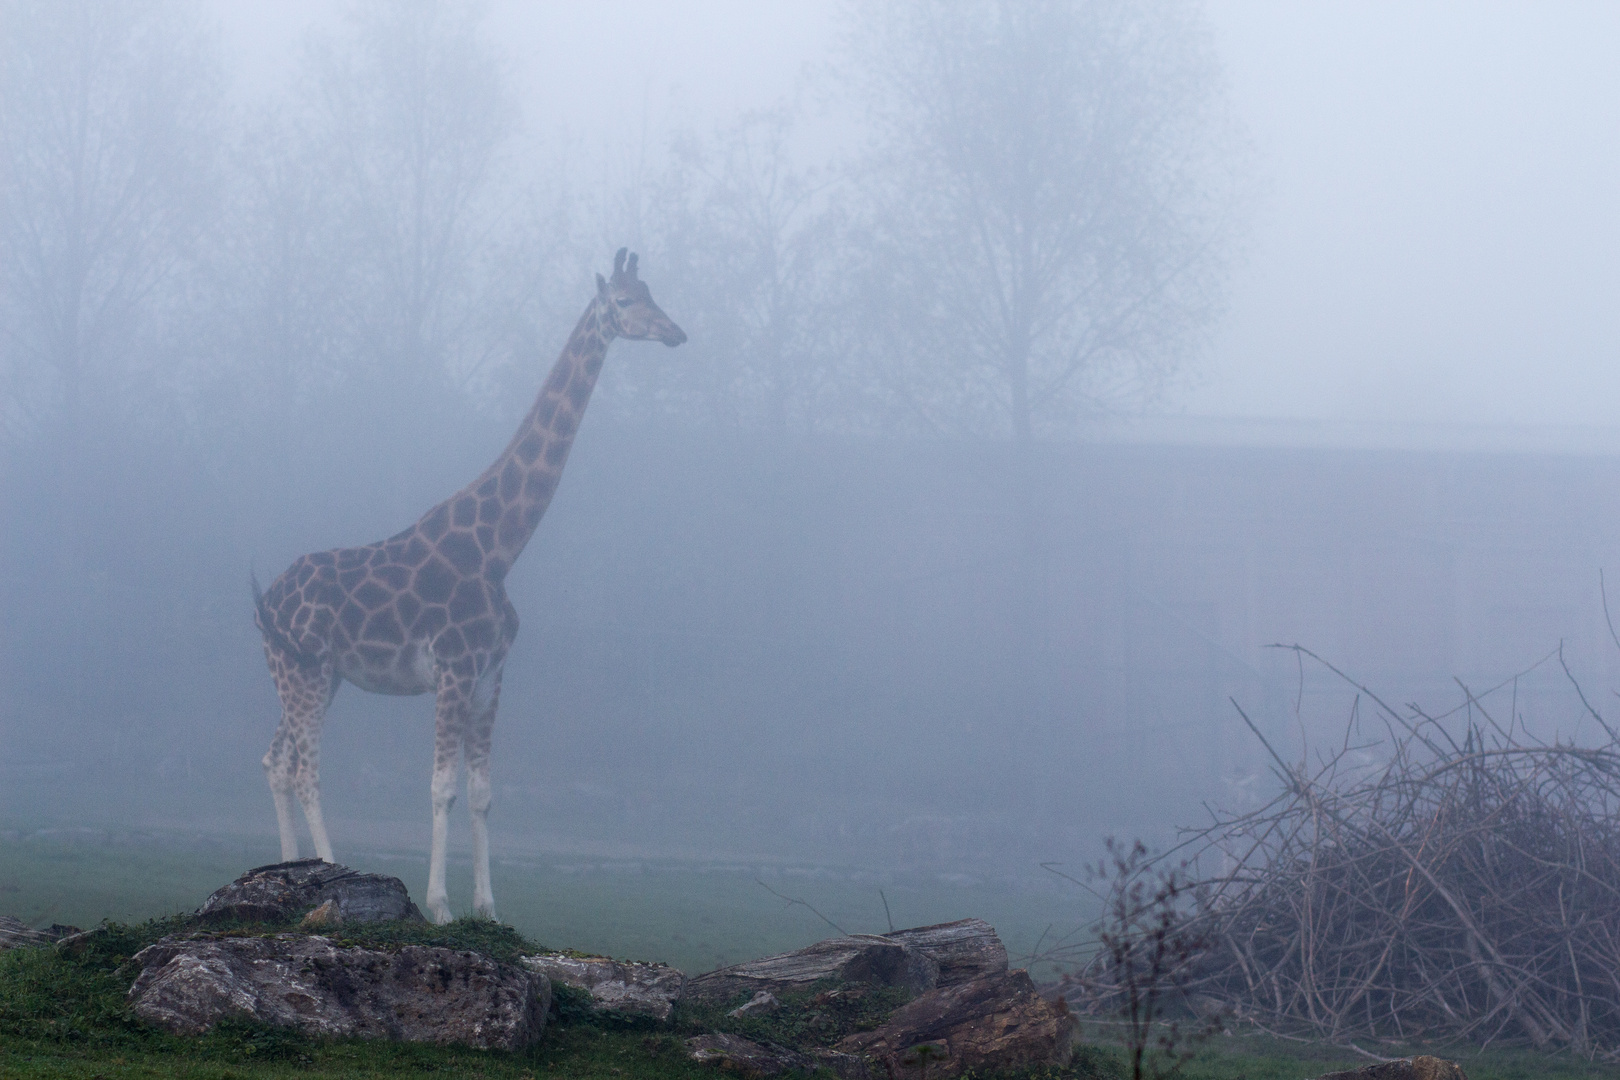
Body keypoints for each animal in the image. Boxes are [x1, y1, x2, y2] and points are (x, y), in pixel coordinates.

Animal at [252, 249, 683, 926]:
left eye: (652, 292)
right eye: (626, 301)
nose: (676, 332)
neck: (500, 548)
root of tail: (268, 598)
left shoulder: (489, 675)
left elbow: (481, 793)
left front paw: (489, 906)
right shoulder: (453, 669)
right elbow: (443, 788)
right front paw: (441, 906)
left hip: (315, 674)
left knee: (276, 761)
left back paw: (288, 870)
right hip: (305, 671)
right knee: (303, 770)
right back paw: (328, 872)